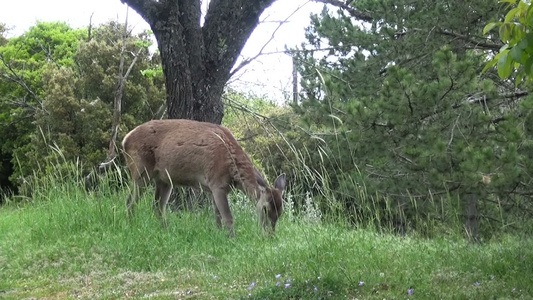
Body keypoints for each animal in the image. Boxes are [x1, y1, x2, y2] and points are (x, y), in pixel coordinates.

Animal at [121, 118, 286, 236]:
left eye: (281, 212)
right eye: (265, 209)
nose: (270, 235)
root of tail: (125, 140)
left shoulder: (216, 188)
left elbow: (217, 216)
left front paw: (219, 234)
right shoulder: (217, 183)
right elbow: (228, 217)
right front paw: (232, 238)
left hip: (164, 179)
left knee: (158, 207)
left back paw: (166, 230)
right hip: (140, 170)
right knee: (130, 202)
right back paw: (131, 226)